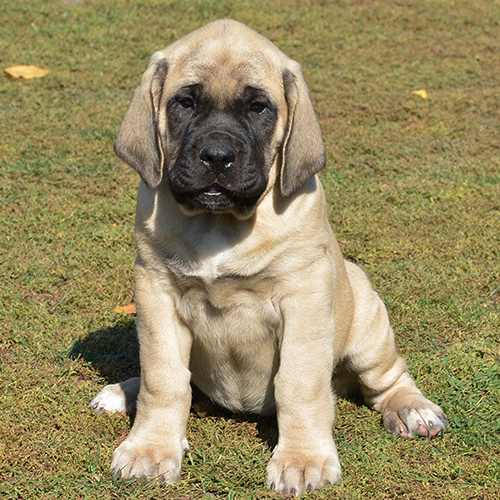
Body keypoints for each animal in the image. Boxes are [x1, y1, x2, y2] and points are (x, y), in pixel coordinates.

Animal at [91, 18, 450, 496]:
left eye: (259, 107)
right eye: (184, 102)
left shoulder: (305, 298)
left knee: (388, 377)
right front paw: (150, 447)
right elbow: (163, 378)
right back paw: (122, 390)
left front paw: (303, 459)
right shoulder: (155, 293)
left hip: (366, 320)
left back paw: (412, 408)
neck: (221, 225)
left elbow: (299, 385)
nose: (217, 157)